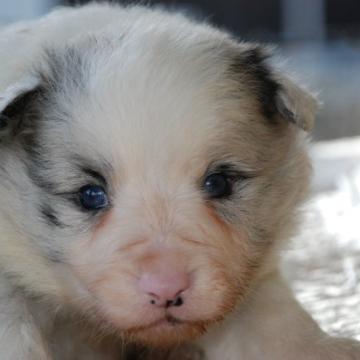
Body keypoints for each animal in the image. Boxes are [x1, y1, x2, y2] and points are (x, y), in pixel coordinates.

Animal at [0, 3, 358, 360]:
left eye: (219, 183)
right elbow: (14, 328)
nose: (166, 290)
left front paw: (322, 348)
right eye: (90, 195)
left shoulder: (251, 286)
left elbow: (274, 318)